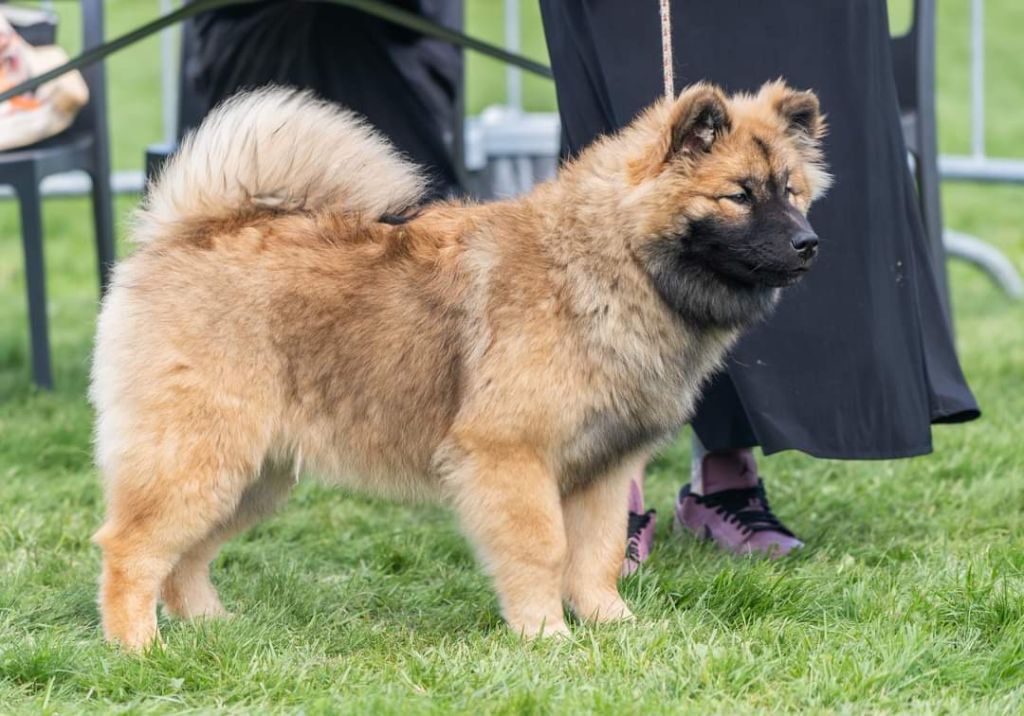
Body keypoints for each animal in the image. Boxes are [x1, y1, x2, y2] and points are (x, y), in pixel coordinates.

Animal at [92, 83, 827, 651]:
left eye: (792, 191)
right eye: (739, 195)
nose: (809, 243)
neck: (607, 264)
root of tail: (187, 232)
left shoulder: (604, 469)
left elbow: (596, 557)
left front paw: (611, 625)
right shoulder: (510, 456)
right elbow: (542, 548)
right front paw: (545, 635)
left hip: (252, 472)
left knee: (185, 557)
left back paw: (212, 628)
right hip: (200, 455)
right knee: (132, 548)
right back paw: (138, 648)